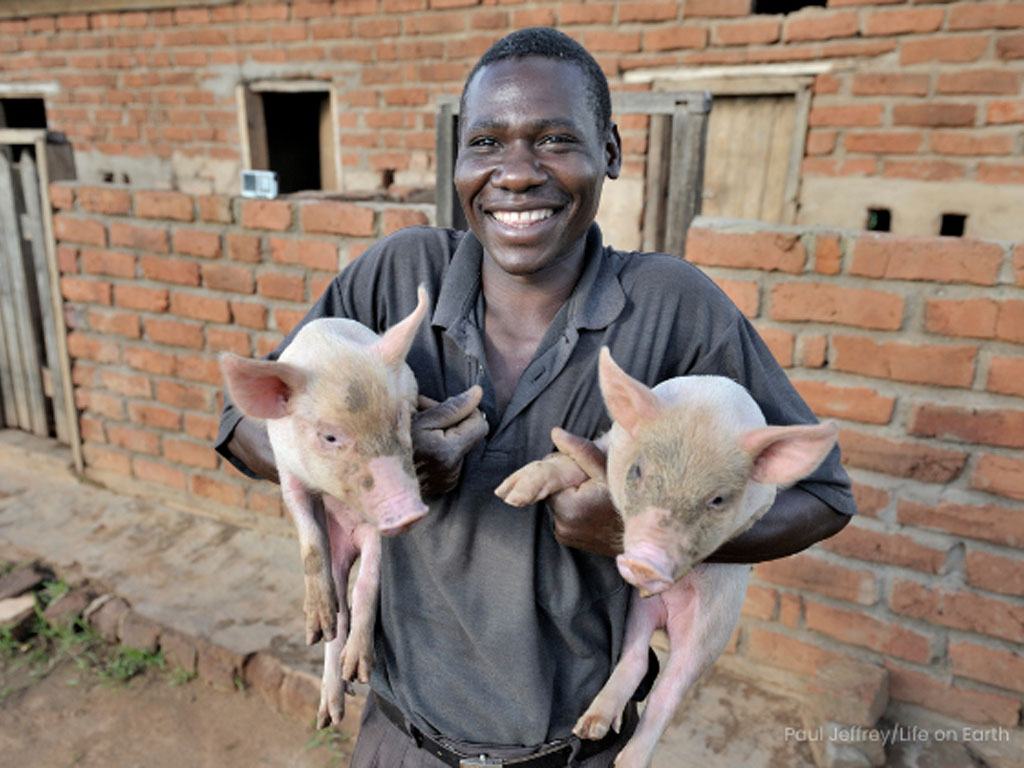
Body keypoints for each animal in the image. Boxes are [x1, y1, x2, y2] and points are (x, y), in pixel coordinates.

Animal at [218, 286, 431, 729]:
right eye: (330, 437)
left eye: (399, 417)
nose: (409, 511)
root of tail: (350, 541)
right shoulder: (287, 471)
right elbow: (309, 536)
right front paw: (313, 628)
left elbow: (370, 581)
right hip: (337, 550)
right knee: (340, 606)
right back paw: (328, 705)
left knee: (360, 590)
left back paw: (352, 676)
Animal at [496, 347, 838, 768]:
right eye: (639, 471)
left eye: (717, 499)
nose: (645, 564)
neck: (707, 408)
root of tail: (667, 616)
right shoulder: (609, 442)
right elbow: (568, 461)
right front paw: (510, 492)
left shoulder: (763, 503)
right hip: (636, 617)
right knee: (636, 658)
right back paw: (590, 727)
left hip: (712, 627)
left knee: (668, 693)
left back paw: (625, 761)